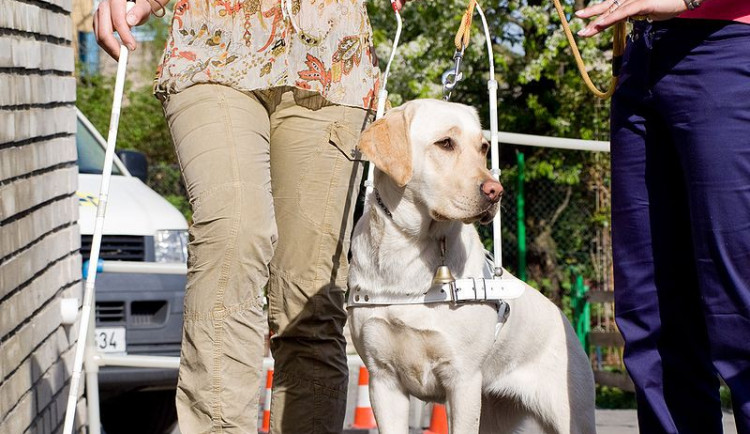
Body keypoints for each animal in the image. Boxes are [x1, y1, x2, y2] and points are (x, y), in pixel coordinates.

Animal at [348, 99, 600, 434]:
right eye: (445, 143)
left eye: (483, 147)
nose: (496, 191)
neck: (410, 250)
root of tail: (566, 321)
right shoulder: (382, 380)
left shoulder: (462, 380)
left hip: (572, 416)